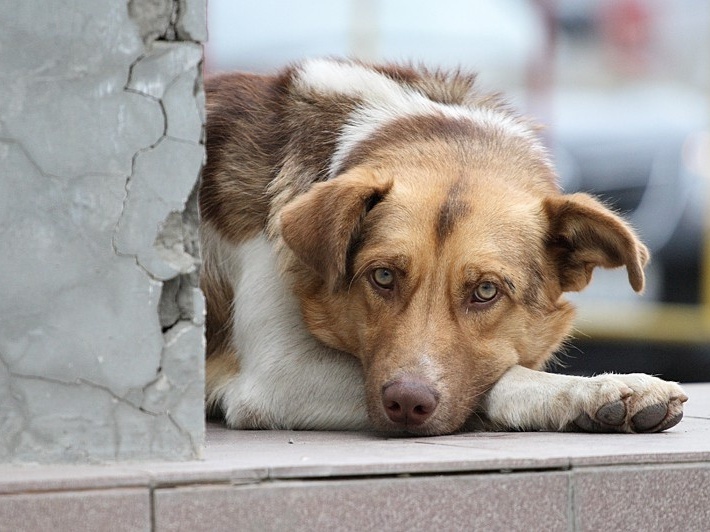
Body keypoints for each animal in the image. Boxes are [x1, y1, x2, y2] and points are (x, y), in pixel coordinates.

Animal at [199, 58, 684, 434]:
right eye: (383, 276)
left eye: (486, 291)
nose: (406, 404)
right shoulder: (277, 376)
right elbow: (502, 381)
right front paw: (589, 390)